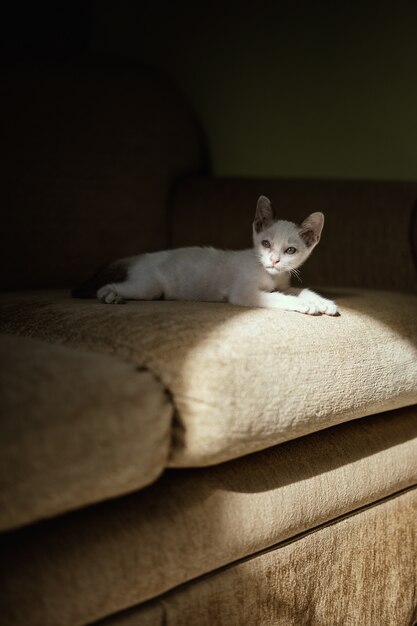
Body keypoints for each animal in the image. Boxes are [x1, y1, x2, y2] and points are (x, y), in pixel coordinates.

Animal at [72, 193, 338, 314]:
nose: (274, 260)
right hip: (149, 288)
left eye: (290, 250)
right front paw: (306, 305)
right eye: (265, 244)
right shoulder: (245, 292)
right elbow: (281, 298)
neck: (271, 275)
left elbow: (298, 290)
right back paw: (110, 296)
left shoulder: (282, 283)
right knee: (109, 286)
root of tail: (144, 256)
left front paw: (323, 302)